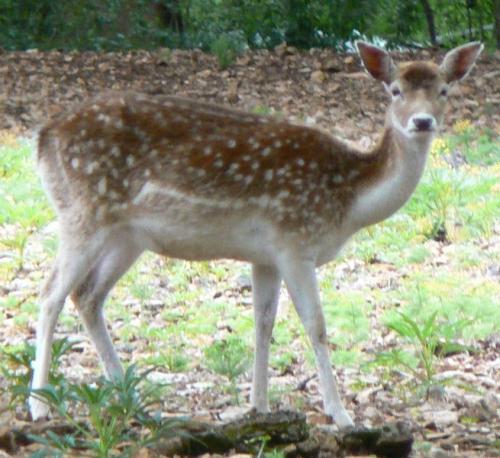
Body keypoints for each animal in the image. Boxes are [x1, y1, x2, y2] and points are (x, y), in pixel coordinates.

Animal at [29, 40, 482, 426]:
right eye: (394, 90)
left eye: (444, 90)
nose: (421, 121)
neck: (349, 201)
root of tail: (42, 137)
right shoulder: (295, 241)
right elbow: (316, 325)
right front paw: (340, 415)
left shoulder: (267, 255)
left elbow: (263, 323)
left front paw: (259, 405)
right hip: (84, 210)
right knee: (50, 293)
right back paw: (39, 404)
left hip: (127, 236)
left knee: (87, 295)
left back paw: (131, 397)